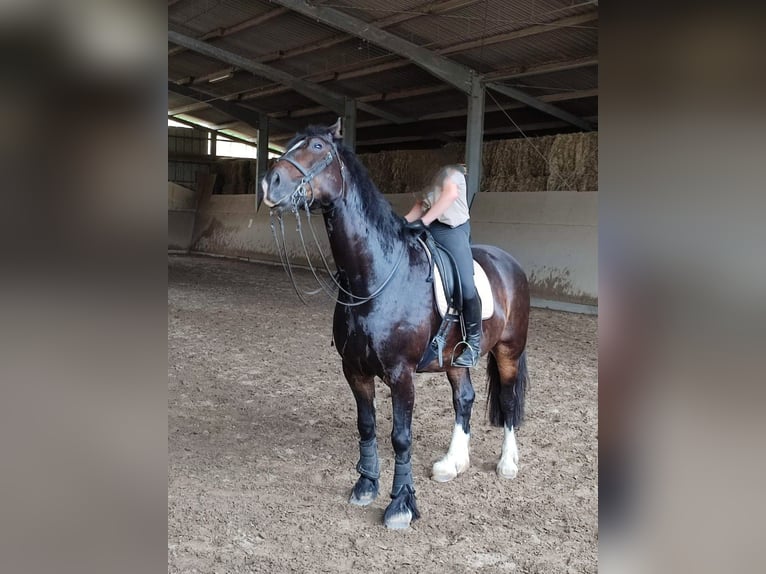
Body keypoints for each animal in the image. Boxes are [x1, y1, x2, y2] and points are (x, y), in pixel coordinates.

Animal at [260, 119, 530, 529]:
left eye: (318, 147)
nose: (269, 183)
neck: (375, 277)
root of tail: (510, 263)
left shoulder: (401, 375)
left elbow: (401, 437)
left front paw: (401, 505)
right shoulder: (354, 370)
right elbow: (367, 426)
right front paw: (365, 486)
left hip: (508, 350)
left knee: (509, 399)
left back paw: (507, 464)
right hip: (455, 359)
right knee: (464, 398)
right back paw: (453, 463)